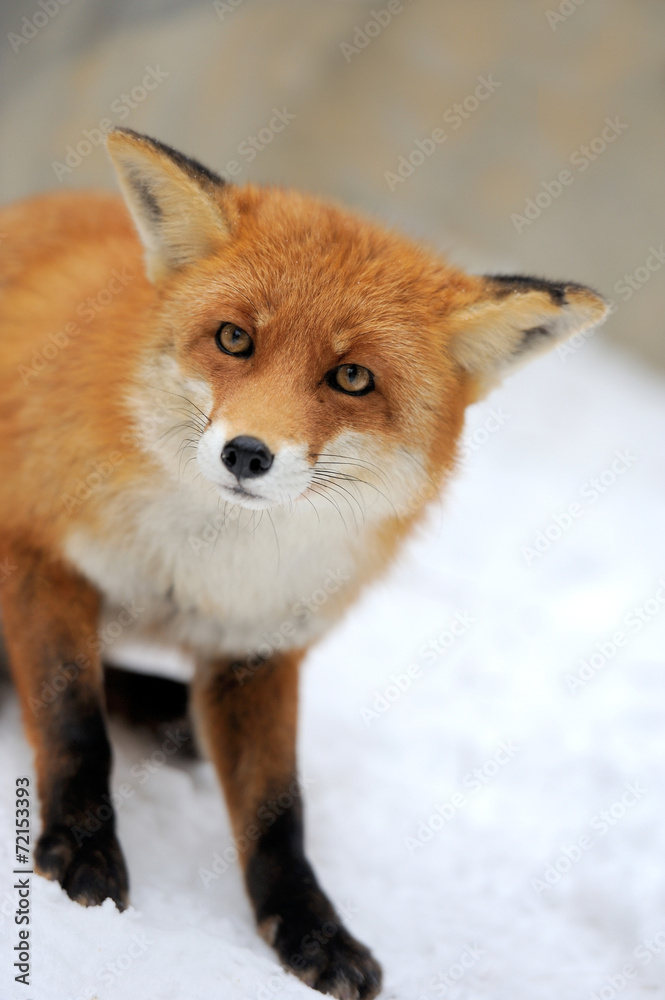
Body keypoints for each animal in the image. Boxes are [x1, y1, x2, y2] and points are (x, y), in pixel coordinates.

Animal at [0, 127, 607, 998]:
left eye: (351, 377)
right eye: (234, 338)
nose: (246, 453)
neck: (203, 568)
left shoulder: (260, 645)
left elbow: (279, 813)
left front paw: (311, 929)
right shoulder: (43, 555)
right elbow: (76, 726)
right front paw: (82, 852)